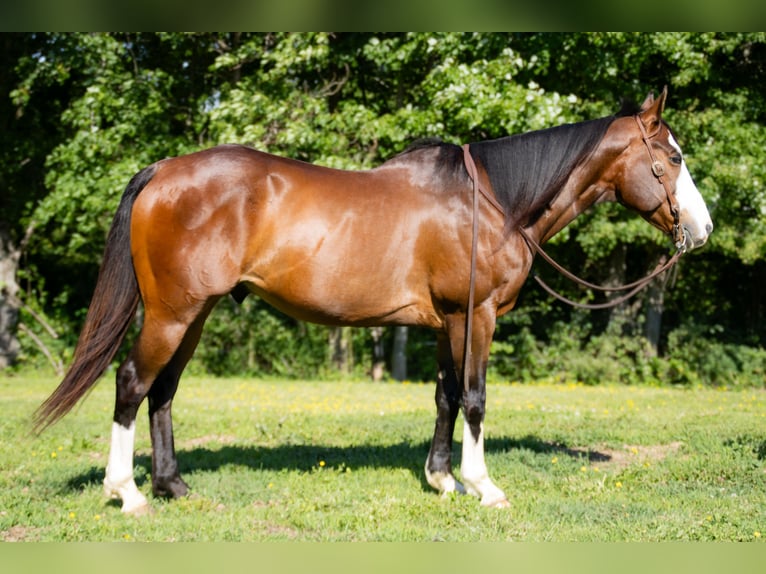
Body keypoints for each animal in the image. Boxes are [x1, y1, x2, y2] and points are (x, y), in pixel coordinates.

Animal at [36, 87, 712, 514]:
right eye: (673, 157)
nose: (702, 229)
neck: (491, 201)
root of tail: (164, 169)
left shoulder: (446, 320)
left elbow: (445, 397)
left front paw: (442, 481)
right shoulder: (476, 316)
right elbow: (474, 398)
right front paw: (483, 486)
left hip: (193, 314)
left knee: (164, 391)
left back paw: (173, 487)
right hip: (172, 314)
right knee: (132, 382)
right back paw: (128, 494)